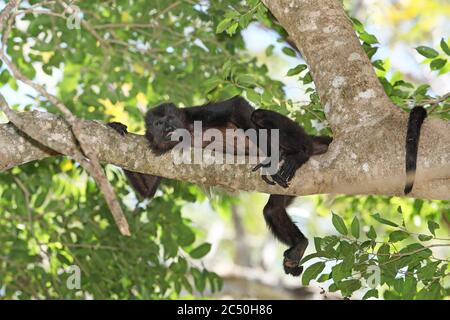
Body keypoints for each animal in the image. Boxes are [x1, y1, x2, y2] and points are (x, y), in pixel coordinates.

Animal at [109, 96, 332, 276]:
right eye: (158, 123)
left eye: (170, 119)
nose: (168, 128)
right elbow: (148, 191)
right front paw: (116, 126)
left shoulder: (195, 113)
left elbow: (236, 105)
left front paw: (273, 155)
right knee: (272, 210)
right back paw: (299, 244)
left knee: (259, 115)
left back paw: (298, 153)